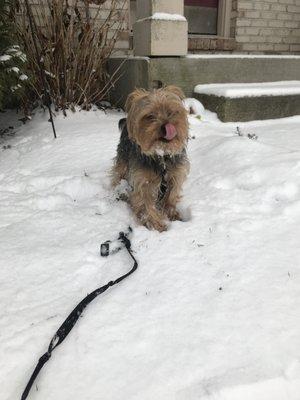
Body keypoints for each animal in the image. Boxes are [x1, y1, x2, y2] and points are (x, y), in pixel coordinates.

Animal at [111, 86, 189, 233]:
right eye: (150, 116)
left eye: (171, 112)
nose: (166, 125)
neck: (161, 155)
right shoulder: (143, 180)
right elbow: (145, 202)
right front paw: (155, 224)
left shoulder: (175, 173)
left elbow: (172, 193)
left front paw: (171, 213)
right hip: (123, 157)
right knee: (118, 174)